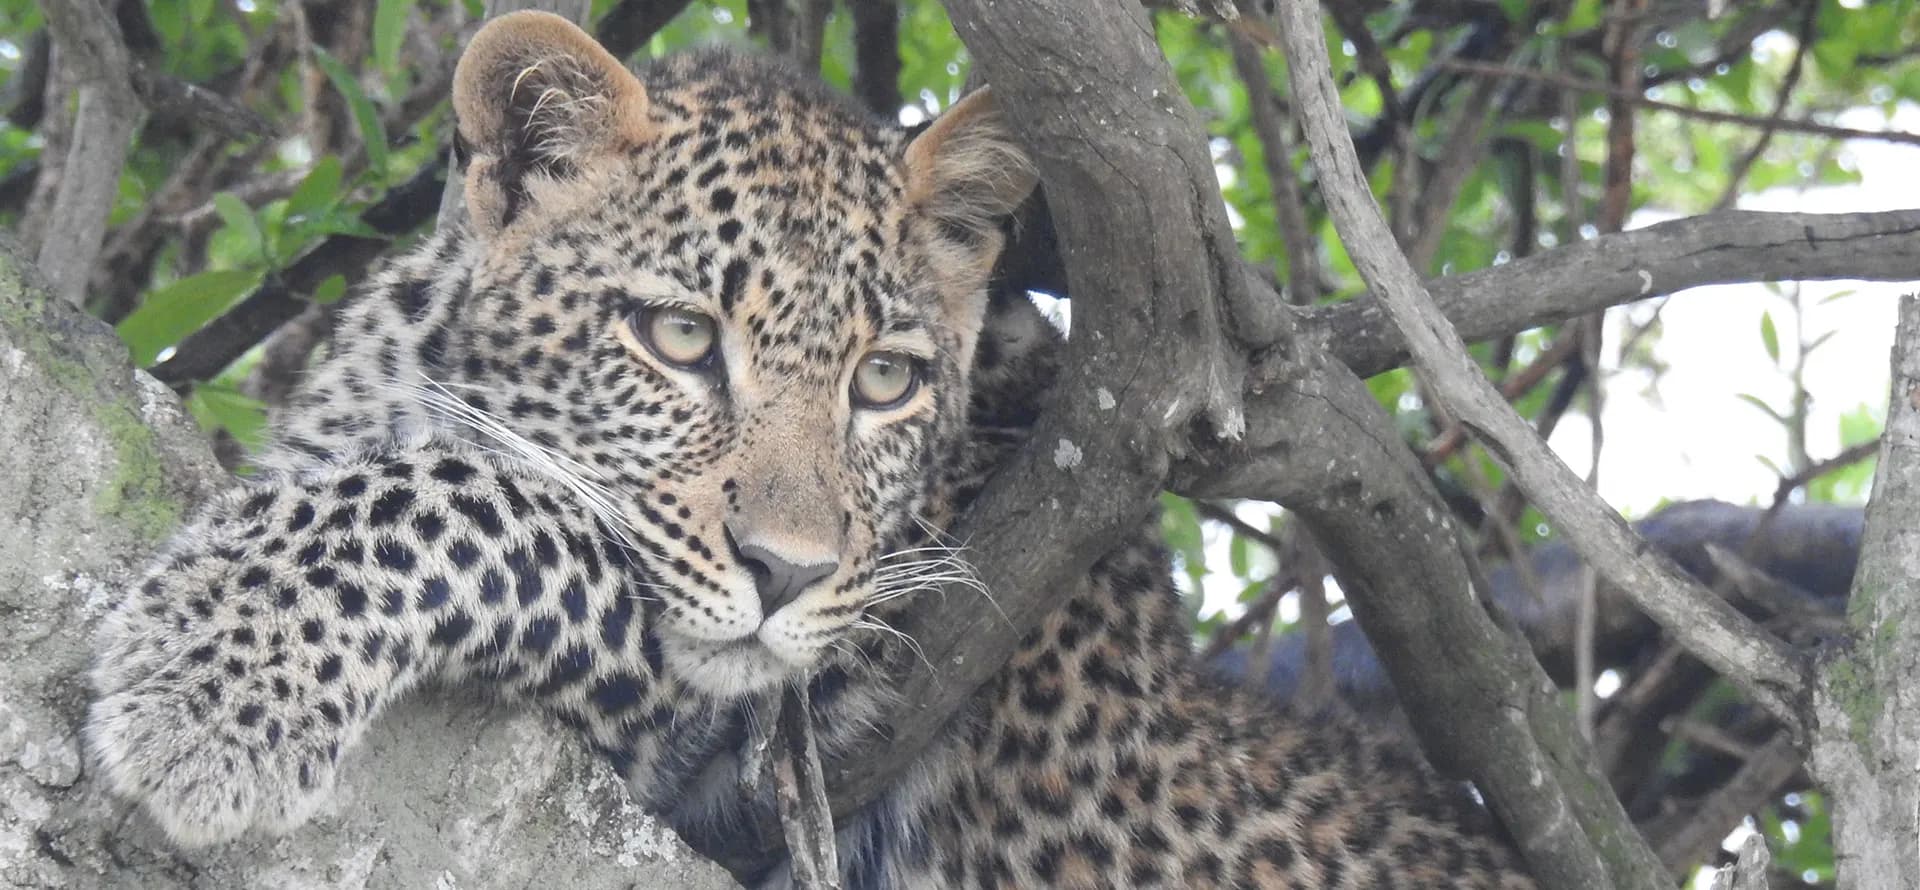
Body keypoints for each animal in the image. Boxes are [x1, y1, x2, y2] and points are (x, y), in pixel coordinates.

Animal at [86, 12, 1535, 889]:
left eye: (884, 380)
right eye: (679, 337)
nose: (784, 568)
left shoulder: (728, 747)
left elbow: (502, 510)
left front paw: (216, 677)